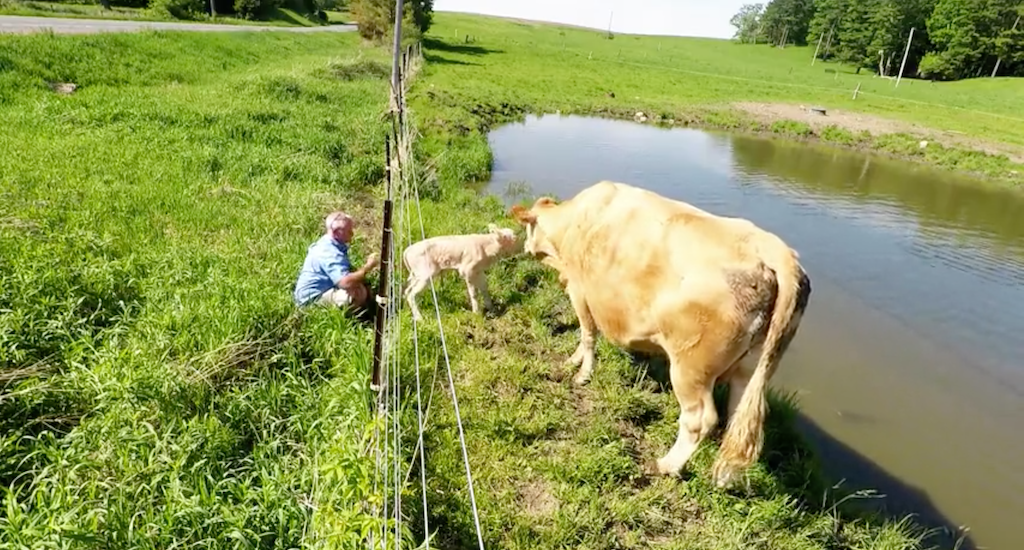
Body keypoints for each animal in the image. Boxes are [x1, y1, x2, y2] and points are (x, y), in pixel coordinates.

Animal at [507, 180, 811, 485]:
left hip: (691, 366)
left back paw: (667, 465)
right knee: (737, 420)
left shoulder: (580, 289)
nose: (525, 247)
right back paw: (724, 480)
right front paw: (574, 361)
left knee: (700, 419)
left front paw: (582, 373)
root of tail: (775, 251)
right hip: (751, 365)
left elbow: (587, 332)